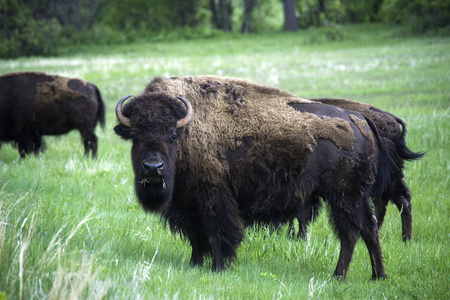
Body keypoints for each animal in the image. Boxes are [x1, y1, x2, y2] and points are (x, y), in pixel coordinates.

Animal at [114, 76, 388, 280]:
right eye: (135, 134)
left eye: (171, 134)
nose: (153, 168)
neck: (188, 130)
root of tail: (361, 119)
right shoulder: (188, 205)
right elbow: (197, 238)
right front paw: (194, 265)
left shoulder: (214, 199)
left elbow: (217, 234)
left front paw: (218, 268)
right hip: (359, 196)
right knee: (370, 227)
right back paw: (378, 275)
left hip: (343, 196)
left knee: (351, 232)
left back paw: (338, 276)